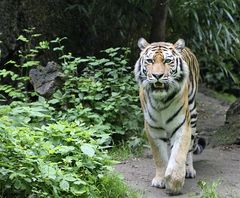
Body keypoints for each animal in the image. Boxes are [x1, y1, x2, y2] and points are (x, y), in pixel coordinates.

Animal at [134, 38, 205, 194]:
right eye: (150, 61)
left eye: (167, 61)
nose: (157, 76)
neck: (161, 100)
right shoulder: (153, 128)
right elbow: (160, 156)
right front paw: (160, 179)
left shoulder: (182, 126)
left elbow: (178, 155)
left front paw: (174, 183)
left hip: (193, 114)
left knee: (190, 147)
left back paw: (189, 170)